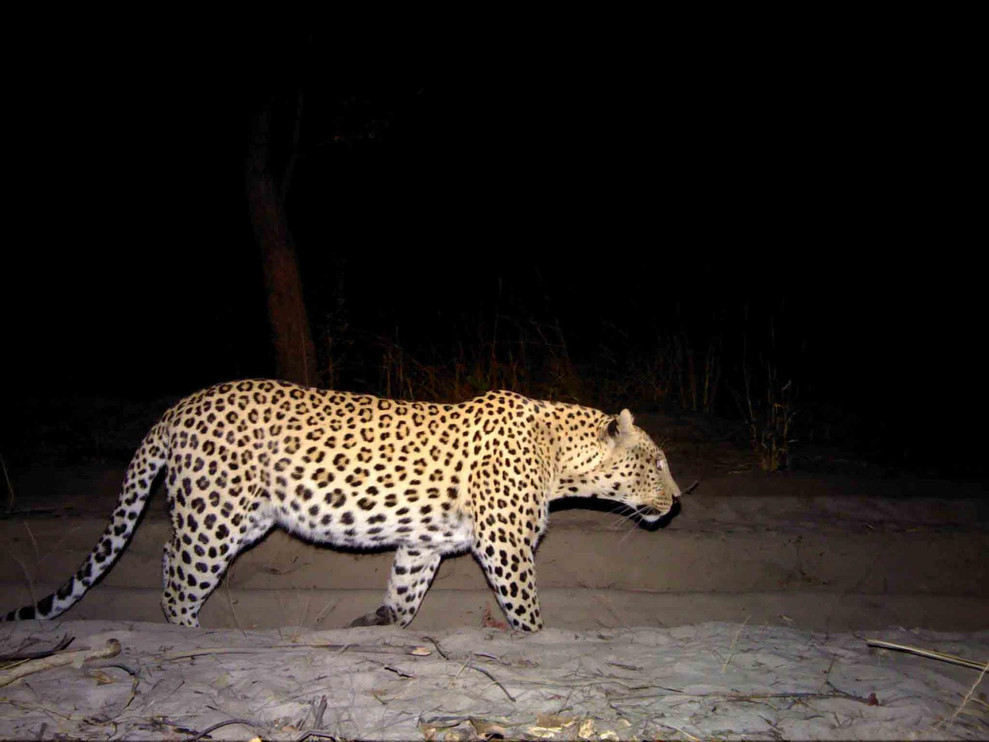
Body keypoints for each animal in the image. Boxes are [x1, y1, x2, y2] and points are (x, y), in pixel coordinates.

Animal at [4, 380, 682, 631]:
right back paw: (183, 634)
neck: (560, 455)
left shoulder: (424, 542)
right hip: (215, 517)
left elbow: (404, 592)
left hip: (243, 517)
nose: (678, 500)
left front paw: (379, 626)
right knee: (178, 572)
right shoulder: (506, 544)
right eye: (655, 461)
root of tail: (178, 407)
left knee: (171, 554)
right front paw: (539, 641)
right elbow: (527, 611)